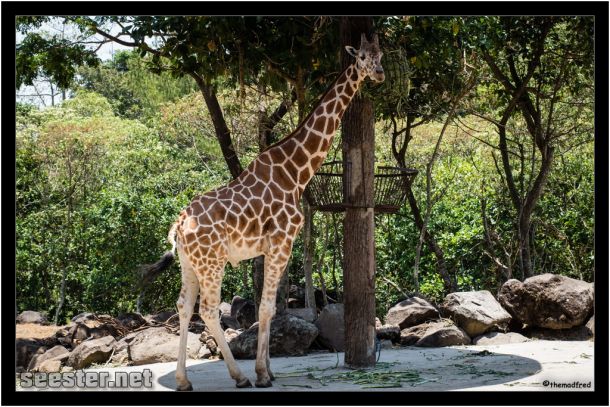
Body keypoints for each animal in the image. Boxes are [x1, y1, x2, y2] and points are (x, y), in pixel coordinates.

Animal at [143, 33, 384, 390]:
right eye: (363, 57)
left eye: (382, 55)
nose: (379, 73)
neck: (296, 172)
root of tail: (179, 224)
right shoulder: (282, 242)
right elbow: (268, 308)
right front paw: (261, 374)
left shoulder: (274, 246)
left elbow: (269, 308)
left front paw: (269, 370)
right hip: (213, 263)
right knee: (209, 311)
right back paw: (239, 376)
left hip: (189, 263)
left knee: (184, 307)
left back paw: (185, 380)